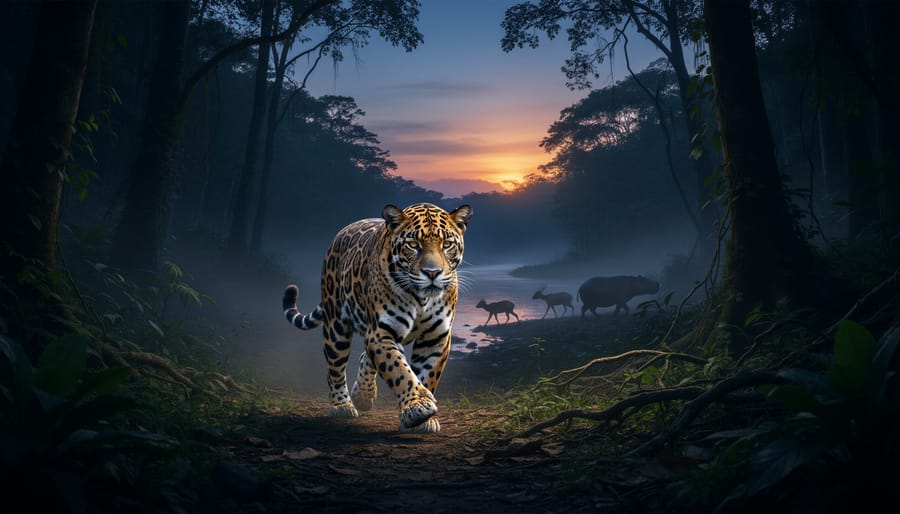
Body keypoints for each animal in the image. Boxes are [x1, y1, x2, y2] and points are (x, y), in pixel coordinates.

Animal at [282, 202, 472, 433]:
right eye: (413, 245)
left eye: (446, 244)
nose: (432, 273)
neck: (422, 299)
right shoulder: (381, 332)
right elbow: (399, 370)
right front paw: (418, 407)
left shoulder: (436, 336)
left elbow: (426, 374)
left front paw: (421, 418)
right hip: (336, 326)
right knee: (335, 368)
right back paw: (342, 406)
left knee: (366, 357)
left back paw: (363, 396)